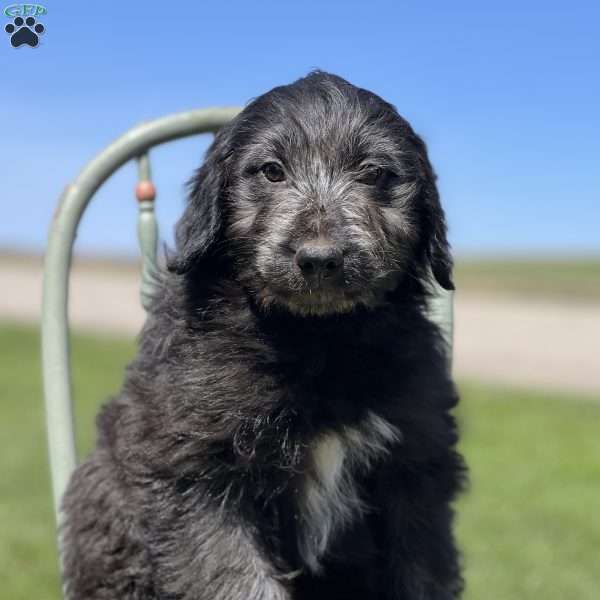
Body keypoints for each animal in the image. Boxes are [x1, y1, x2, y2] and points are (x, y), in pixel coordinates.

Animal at [62, 71, 464, 600]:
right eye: (272, 171)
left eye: (374, 173)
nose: (320, 259)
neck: (317, 339)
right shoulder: (195, 472)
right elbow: (237, 578)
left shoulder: (415, 468)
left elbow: (421, 571)